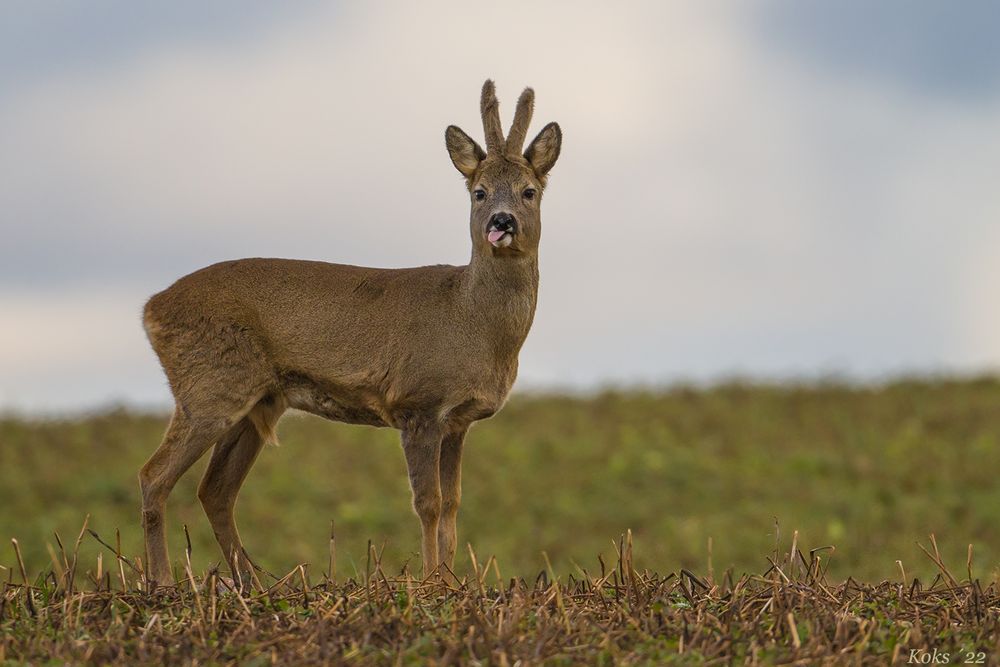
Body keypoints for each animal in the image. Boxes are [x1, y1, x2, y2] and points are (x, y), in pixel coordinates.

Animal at [141, 81, 564, 588]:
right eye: (479, 192)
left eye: (529, 191)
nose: (501, 222)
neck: (472, 323)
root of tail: (151, 308)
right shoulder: (417, 402)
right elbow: (428, 504)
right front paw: (430, 582)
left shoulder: (458, 421)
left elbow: (453, 505)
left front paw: (451, 581)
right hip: (208, 387)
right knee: (154, 475)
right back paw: (162, 582)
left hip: (257, 400)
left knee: (215, 490)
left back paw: (253, 583)